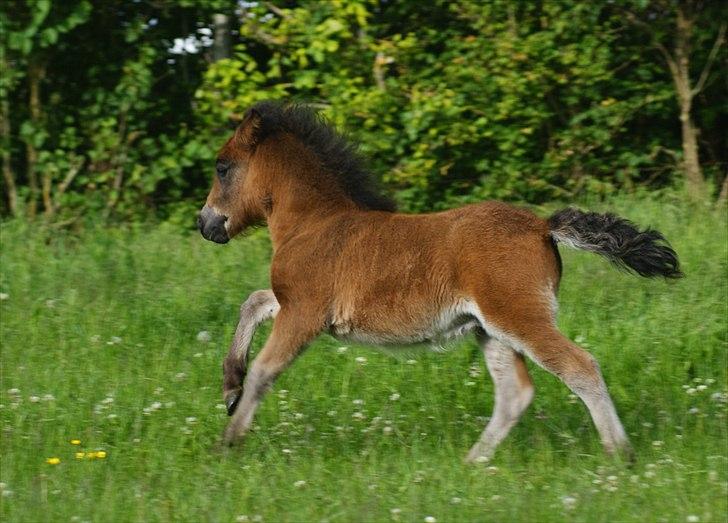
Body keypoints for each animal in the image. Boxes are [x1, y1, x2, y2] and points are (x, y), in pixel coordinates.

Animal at [196, 102, 680, 462]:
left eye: (222, 167)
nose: (205, 224)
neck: (313, 223)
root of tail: (543, 226)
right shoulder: (296, 303)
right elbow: (253, 301)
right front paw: (230, 387)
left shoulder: (305, 312)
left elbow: (265, 370)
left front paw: (227, 441)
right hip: (490, 329)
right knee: (515, 393)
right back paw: (473, 463)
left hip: (518, 317)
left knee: (580, 366)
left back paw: (620, 455)